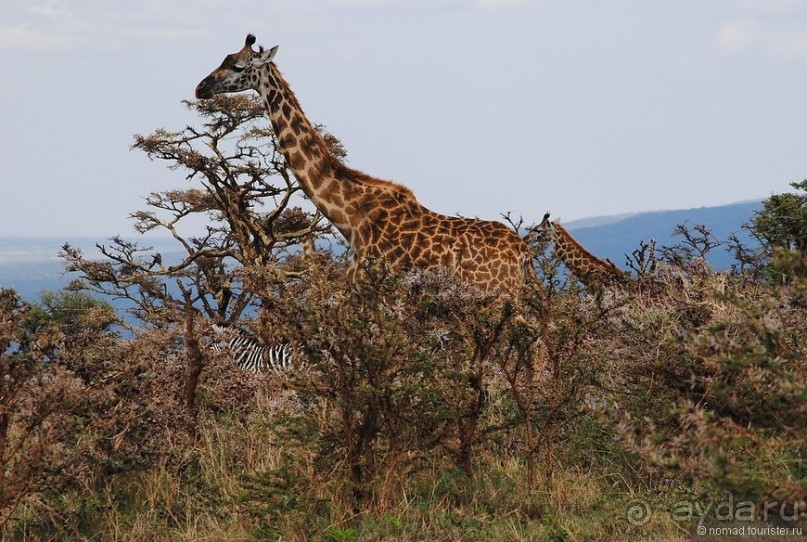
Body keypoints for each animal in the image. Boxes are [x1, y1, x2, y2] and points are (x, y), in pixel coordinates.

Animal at [196, 35, 536, 294]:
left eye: (237, 66)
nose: (201, 87)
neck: (350, 215)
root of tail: (523, 252)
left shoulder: (375, 292)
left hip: (494, 294)